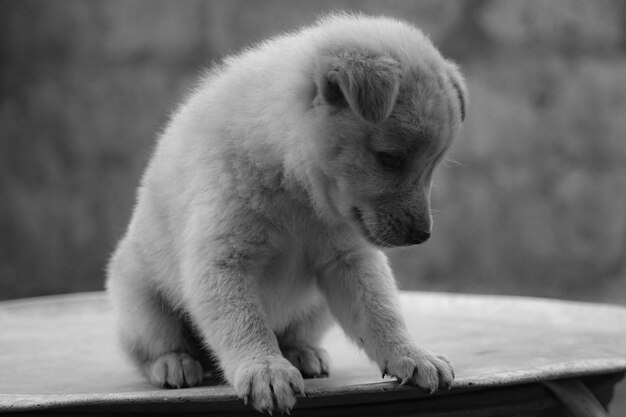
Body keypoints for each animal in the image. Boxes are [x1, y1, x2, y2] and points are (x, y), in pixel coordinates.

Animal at [107, 12, 466, 412]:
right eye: (390, 159)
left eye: (433, 166)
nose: (422, 236)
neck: (295, 192)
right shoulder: (223, 262)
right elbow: (245, 323)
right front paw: (265, 370)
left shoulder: (349, 259)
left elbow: (381, 314)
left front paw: (412, 354)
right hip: (141, 301)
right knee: (154, 345)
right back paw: (174, 362)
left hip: (315, 307)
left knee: (294, 333)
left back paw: (301, 353)